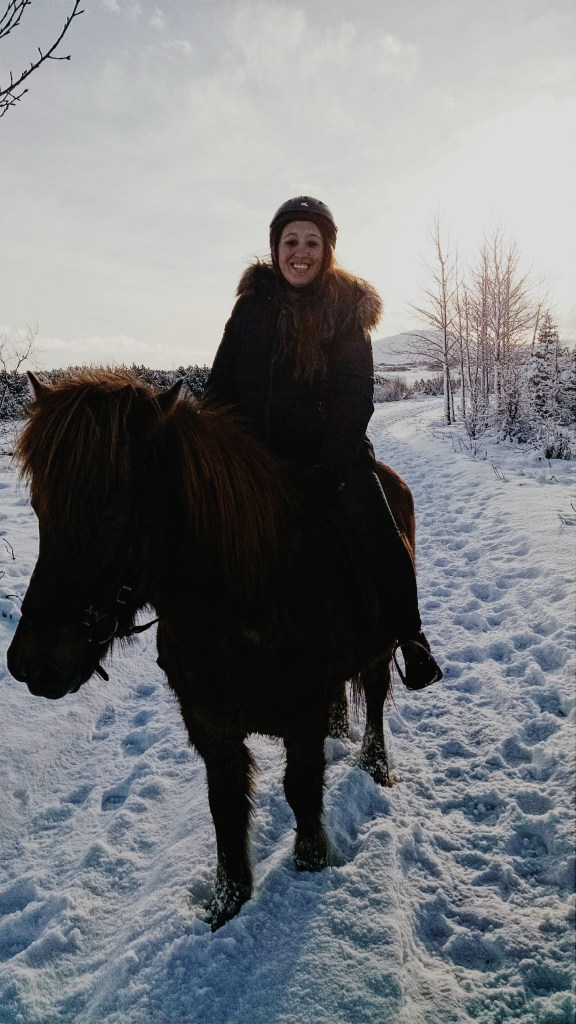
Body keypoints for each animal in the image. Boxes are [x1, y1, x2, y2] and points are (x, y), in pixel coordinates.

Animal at [6, 368, 414, 929]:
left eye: (112, 510)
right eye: (39, 507)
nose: (34, 663)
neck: (243, 601)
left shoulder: (300, 720)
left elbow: (302, 793)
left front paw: (311, 867)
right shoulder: (211, 728)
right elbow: (226, 812)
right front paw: (225, 907)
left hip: (380, 650)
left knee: (374, 694)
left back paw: (376, 765)